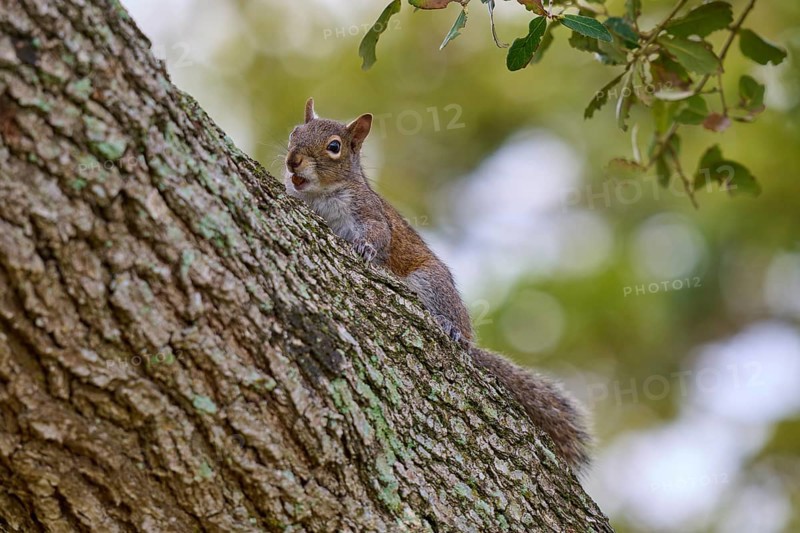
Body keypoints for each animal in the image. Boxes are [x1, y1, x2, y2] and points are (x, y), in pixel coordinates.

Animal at [284, 98, 590, 471]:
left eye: (334, 147)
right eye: (294, 132)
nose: (293, 160)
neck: (319, 194)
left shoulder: (369, 212)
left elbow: (379, 235)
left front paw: (366, 248)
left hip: (430, 280)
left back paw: (452, 327)